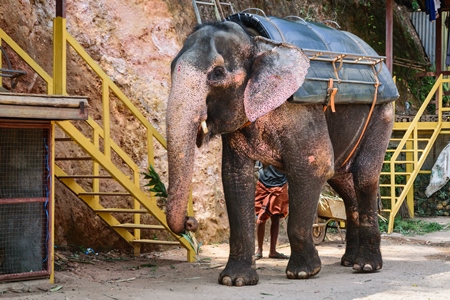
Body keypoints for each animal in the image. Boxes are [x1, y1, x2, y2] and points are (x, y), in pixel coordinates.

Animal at [165, 19, 394, 288]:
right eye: (171, 68)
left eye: (217, 73)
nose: (191, 222)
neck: (255, 41)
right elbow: (234, 177)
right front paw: (235, 280)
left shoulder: (300, 111)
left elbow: (314, 166)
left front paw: (303, 273)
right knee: (344, 182)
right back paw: (348, 261)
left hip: (382, 112)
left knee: (364, 176)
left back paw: (366, 266)